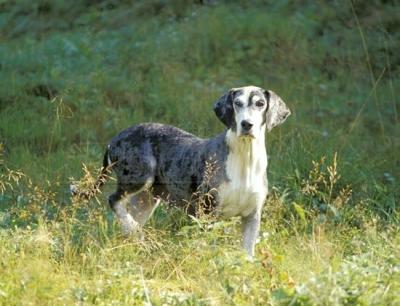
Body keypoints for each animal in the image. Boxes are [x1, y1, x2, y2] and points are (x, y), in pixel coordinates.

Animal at [79, 85, 290, 256]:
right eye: (237, 103)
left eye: (260, 104)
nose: (247, 124)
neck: (245, 159)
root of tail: (115, 138)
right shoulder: (207, 211)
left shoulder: (252, 216)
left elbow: (247, 252)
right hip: (139, 177)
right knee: (114, 200)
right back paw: (133, 229)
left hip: (146, 200)